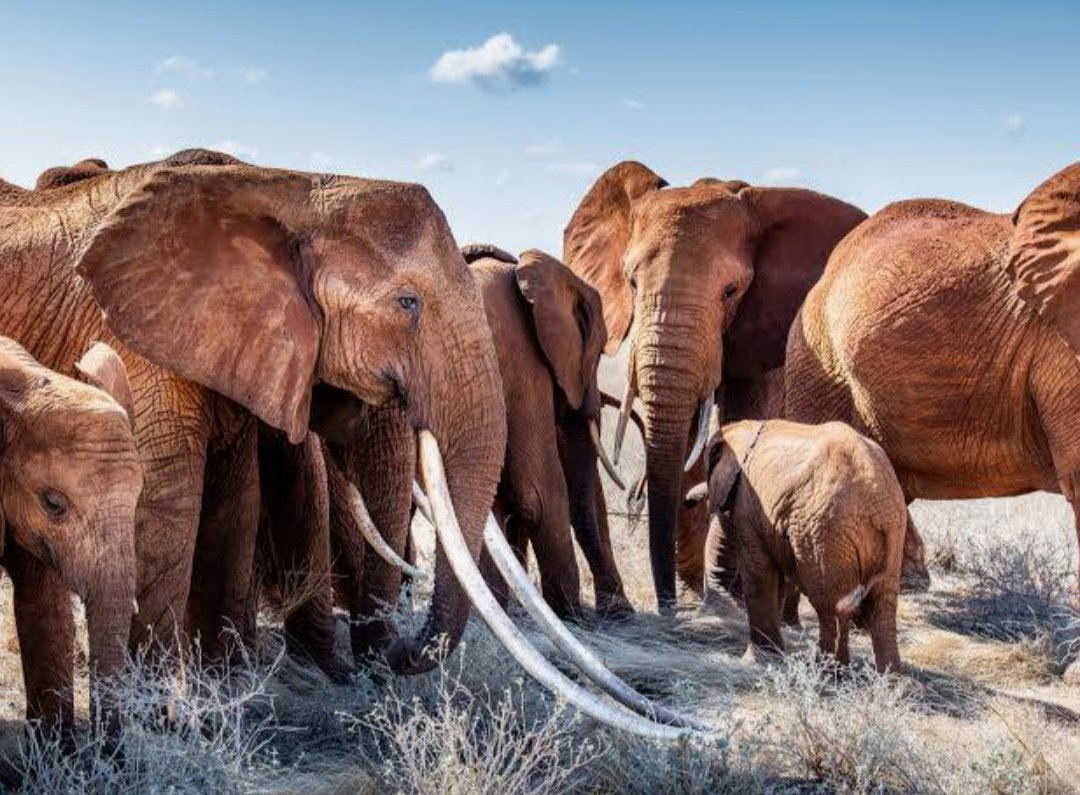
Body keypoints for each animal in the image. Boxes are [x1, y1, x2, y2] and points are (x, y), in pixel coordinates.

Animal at [1, 149, 507, 683]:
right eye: (407, 303)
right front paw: (156, 699)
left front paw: (222, 684)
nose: (397, 653)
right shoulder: (134, 343)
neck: (289, 189)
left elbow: (235, 502)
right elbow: (169, 503)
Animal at [562, 161, 867, 612]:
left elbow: (743, 425)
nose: (666, 607)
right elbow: (686, 439)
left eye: (731, 291)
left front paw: (728, 593)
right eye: (631, 283)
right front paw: (693, 595)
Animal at [703, 419, 905, 672]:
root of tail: (878, 502)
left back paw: (827, 672)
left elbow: (758, 572)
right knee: (882, 606)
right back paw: (889, 679)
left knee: (829, 605)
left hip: (824, 534)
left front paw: (757, 661)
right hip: (891, 534)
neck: (746, 428)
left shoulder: (748, 506)